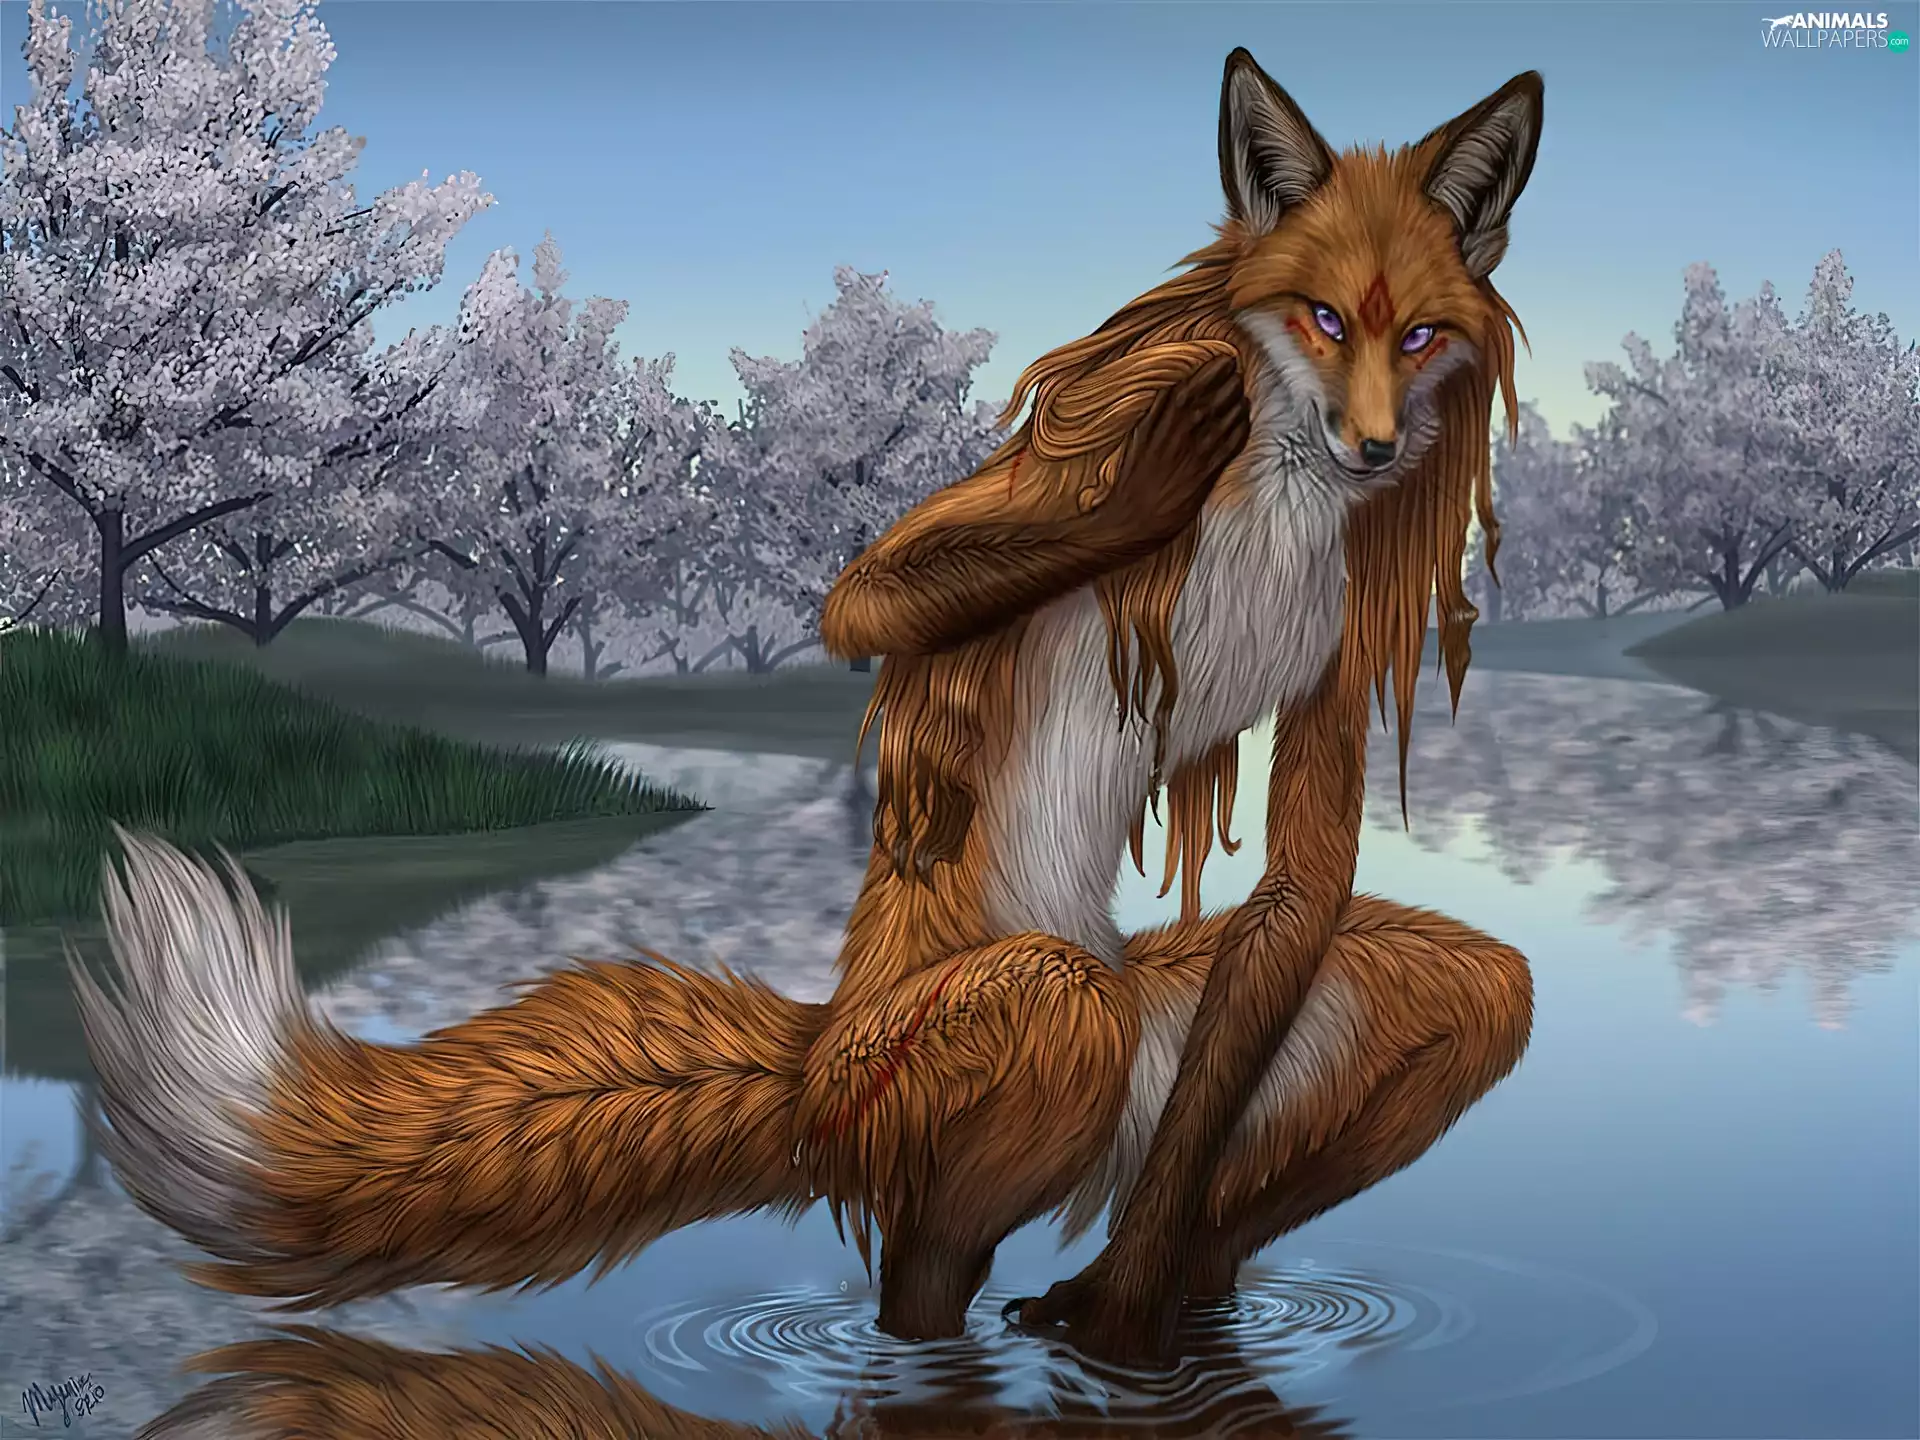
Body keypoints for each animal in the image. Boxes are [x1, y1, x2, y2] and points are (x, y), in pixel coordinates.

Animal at [72, 47, 1539, 1373]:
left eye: (1416, 334)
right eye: (1324, 320)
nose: (1375, 449)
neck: (1277, 502)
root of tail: (816, 1048)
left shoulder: (1338, 663)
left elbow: (1302, 880)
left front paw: (1123, 1317)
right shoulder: (1098, 428)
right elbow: (867, 598)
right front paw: (1151, 491)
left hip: (1219, 1044)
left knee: (1371, 1070)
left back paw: (1158, 1305)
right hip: (1011, 1036)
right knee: (927, 1263)